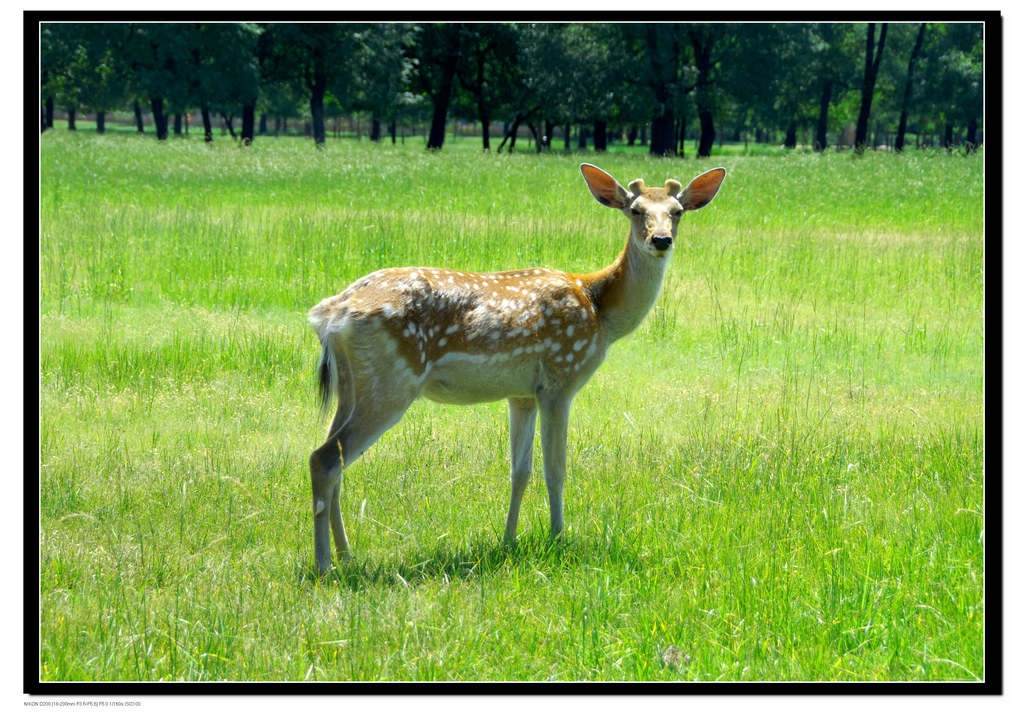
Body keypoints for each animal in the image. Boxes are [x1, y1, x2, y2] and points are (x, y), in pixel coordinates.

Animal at [305, 161, 729, 573]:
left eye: (677, 212)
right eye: (636, 210)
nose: (661, 240)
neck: (600, 310)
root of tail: (329, 313)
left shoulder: (521, 394)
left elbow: (519, 470)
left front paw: (508, 540)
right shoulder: (560, 380)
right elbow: (555, 467)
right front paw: (558, 537)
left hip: (352, 385)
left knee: (334, 457)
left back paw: (347, 555)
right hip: (392, 381)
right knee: (324, 459)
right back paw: (325, 565)